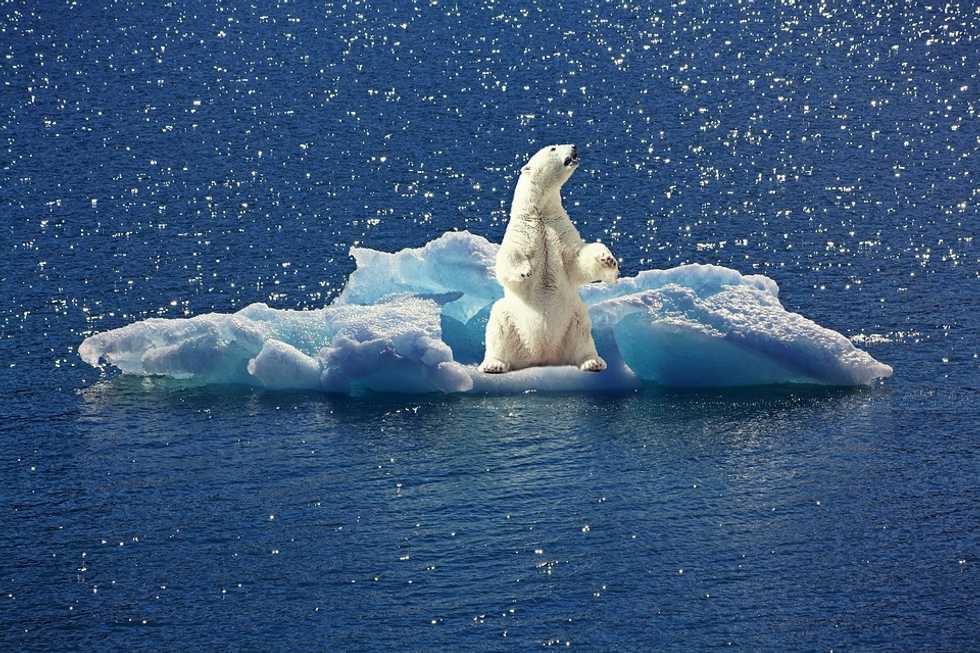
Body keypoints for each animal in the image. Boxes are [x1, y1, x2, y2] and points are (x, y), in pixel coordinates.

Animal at [479, 144, 619, 374]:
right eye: (553, 148)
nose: (574, 146)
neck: (540, 213)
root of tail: (542, 356)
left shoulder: (559, 229)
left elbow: (577, 259)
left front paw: (608, 260)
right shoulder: (522, 231)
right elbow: (509, 257)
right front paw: (524, 270)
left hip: (572, 318)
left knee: (582, 331)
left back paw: (592, 362)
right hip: (511, 319)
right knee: (498, 325)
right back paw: (494, 364)